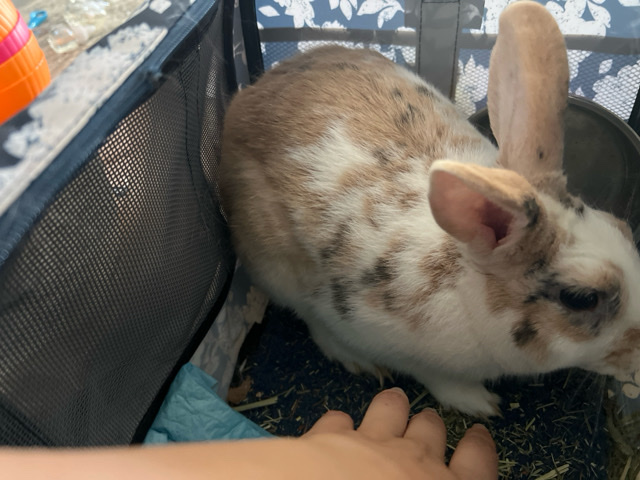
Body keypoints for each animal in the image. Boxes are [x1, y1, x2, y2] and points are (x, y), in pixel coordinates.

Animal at [219, 1, 640, 416]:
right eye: (581, 298)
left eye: (624, 228)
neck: (468, 289)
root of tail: (243, 99)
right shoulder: (392, 343)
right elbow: (436, 378)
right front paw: (482, 404)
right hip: (275, 267)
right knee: (309, 318)